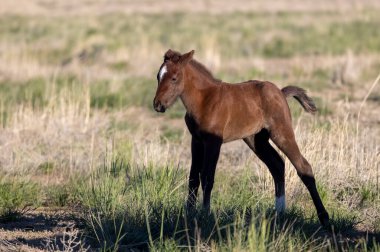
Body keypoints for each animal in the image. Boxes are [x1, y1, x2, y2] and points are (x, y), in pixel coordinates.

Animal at [153, 48, 332, 226]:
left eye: (174, 78)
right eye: (158, 76)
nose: (158, 105)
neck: (205, 100)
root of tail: (281, 92)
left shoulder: (213, 141)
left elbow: (207, 177)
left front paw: (205, 215)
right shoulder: (196, 140)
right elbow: (193, 178)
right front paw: (188, 215)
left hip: (281, 132)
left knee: (303, 167)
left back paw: (324, 218)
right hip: (256, 140)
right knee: (277, 165)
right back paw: (279, 213)